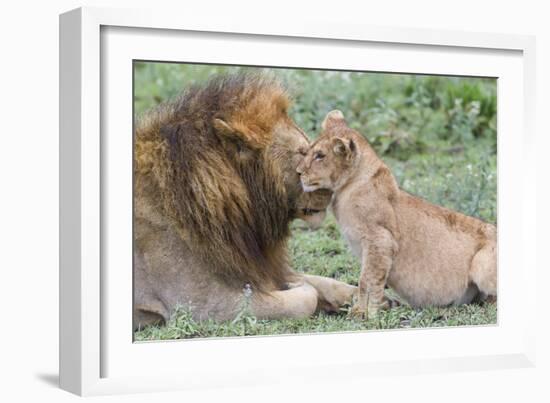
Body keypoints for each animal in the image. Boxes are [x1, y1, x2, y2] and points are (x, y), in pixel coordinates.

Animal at [135, 74, 356, 330]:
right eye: (302, 154)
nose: (332, 189)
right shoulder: (204, 306)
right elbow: (304, 298)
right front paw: (297, 286)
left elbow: (327, 283)